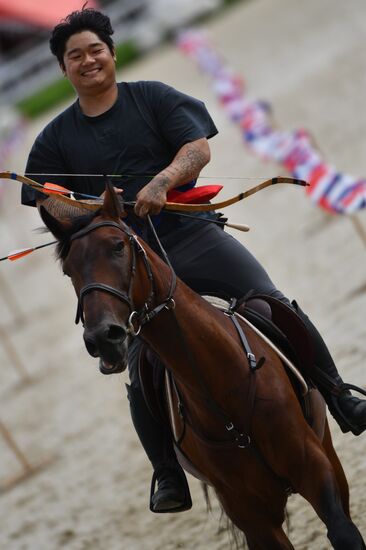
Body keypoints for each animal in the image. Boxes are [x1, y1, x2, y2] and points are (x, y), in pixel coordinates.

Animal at [38, 187, 364, 550]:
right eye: (69, 269)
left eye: (117, 246)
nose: (102, 337)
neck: (223, 386)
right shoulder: (250, 516)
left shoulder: (315, 470)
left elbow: (343, 531)